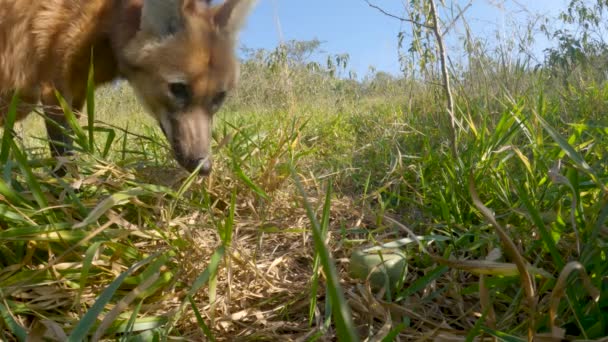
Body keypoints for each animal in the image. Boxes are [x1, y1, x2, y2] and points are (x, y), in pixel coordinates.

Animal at [0, 0, 255, 175]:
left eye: (219, 98)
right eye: (178, 89)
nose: (204, 167)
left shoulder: (78, 91)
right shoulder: (54, 89)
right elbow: (63, 155)